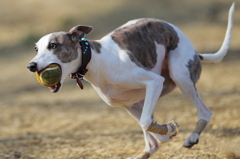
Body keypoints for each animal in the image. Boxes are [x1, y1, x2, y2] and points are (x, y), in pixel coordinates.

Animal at [26, 3, 234, 159]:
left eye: (53, 45)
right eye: (36, 49)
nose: (31, 65)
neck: (96, 60)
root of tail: (196, 53)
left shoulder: (154, 82)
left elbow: (146, 122)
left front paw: (168, 129)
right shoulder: (130, 104)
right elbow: (151, 131)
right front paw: (167, 130)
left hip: (181, 76)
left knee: (205, 111)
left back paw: (191, 138)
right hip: (149, 96)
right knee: (152, 142)